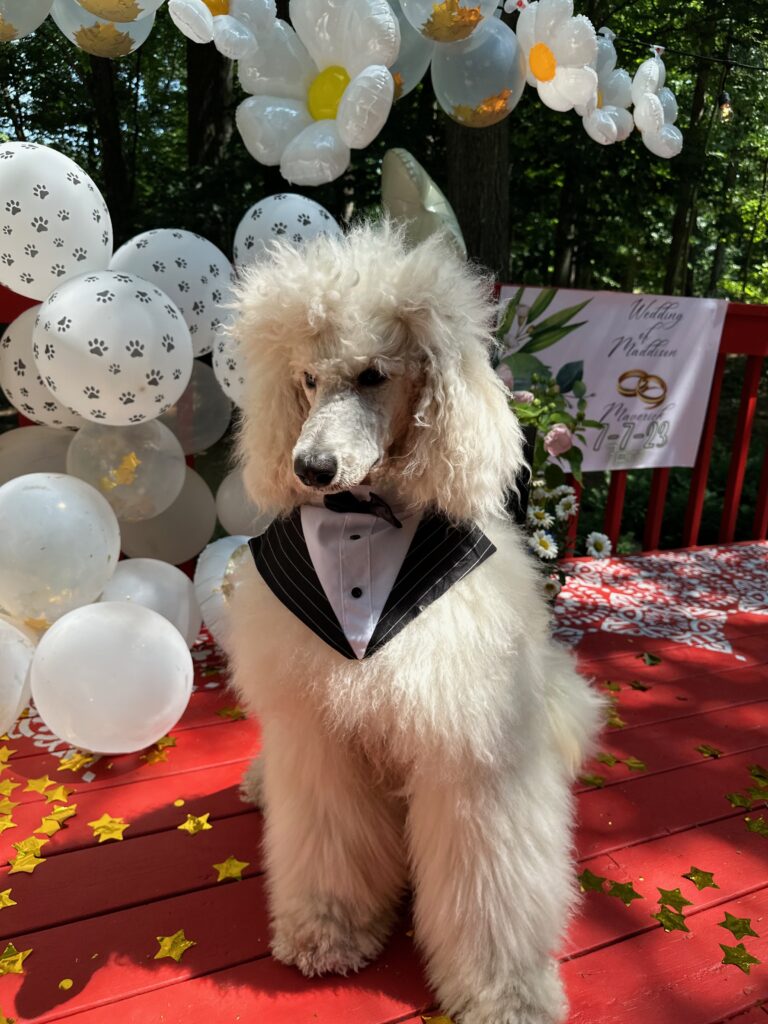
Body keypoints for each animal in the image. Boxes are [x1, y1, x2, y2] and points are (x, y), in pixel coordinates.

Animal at [228, 222, 603, 1024]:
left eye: (375, 374)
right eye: (307, 379)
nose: (310, 467)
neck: (364, 520)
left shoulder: (476, 744)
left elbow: (491, 889)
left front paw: (507, 992)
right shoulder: (319, 737)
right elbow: (327, 841)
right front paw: (328, 931)